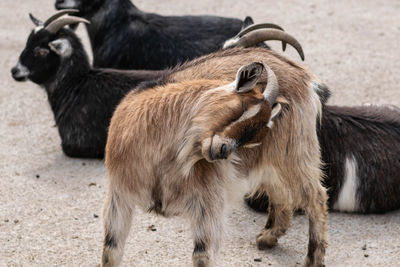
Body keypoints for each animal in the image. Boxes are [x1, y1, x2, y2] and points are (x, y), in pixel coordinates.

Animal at [101, 48, 326, 267]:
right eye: (243, 107)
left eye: (253, 138)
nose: (223, 150)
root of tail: (303, 76)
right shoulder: (119, 194)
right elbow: (110, 251)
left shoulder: (208, 204)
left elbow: (202, 256)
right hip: (272, 162)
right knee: (280, 192)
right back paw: (268, 237)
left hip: (293, 154)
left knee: (316, 197)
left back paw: (313, 259)